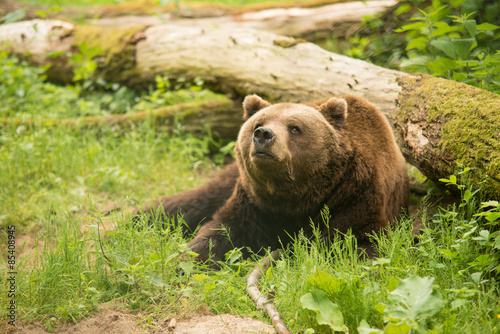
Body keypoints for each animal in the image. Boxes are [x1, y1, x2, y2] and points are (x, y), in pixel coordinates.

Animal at [135, 94, 408, 264]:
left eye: (295, 128)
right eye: (259, 122)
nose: (263, 134)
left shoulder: (354, 194)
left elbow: (358, 242)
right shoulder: (254, 201)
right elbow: (219, 232)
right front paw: (184, 263)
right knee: (185, 204)